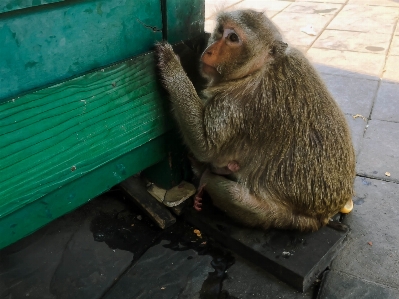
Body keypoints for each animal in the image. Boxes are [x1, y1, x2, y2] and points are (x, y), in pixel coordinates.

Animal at [156, 8, 356, 232]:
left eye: (233, 38)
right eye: (220, 31)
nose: (208, 51)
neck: (260, 68)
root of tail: (323, 217)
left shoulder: (237, 103)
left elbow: (205, 147)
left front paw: (171, 67)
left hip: (283, 218)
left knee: (233, 194)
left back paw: (204, 175)